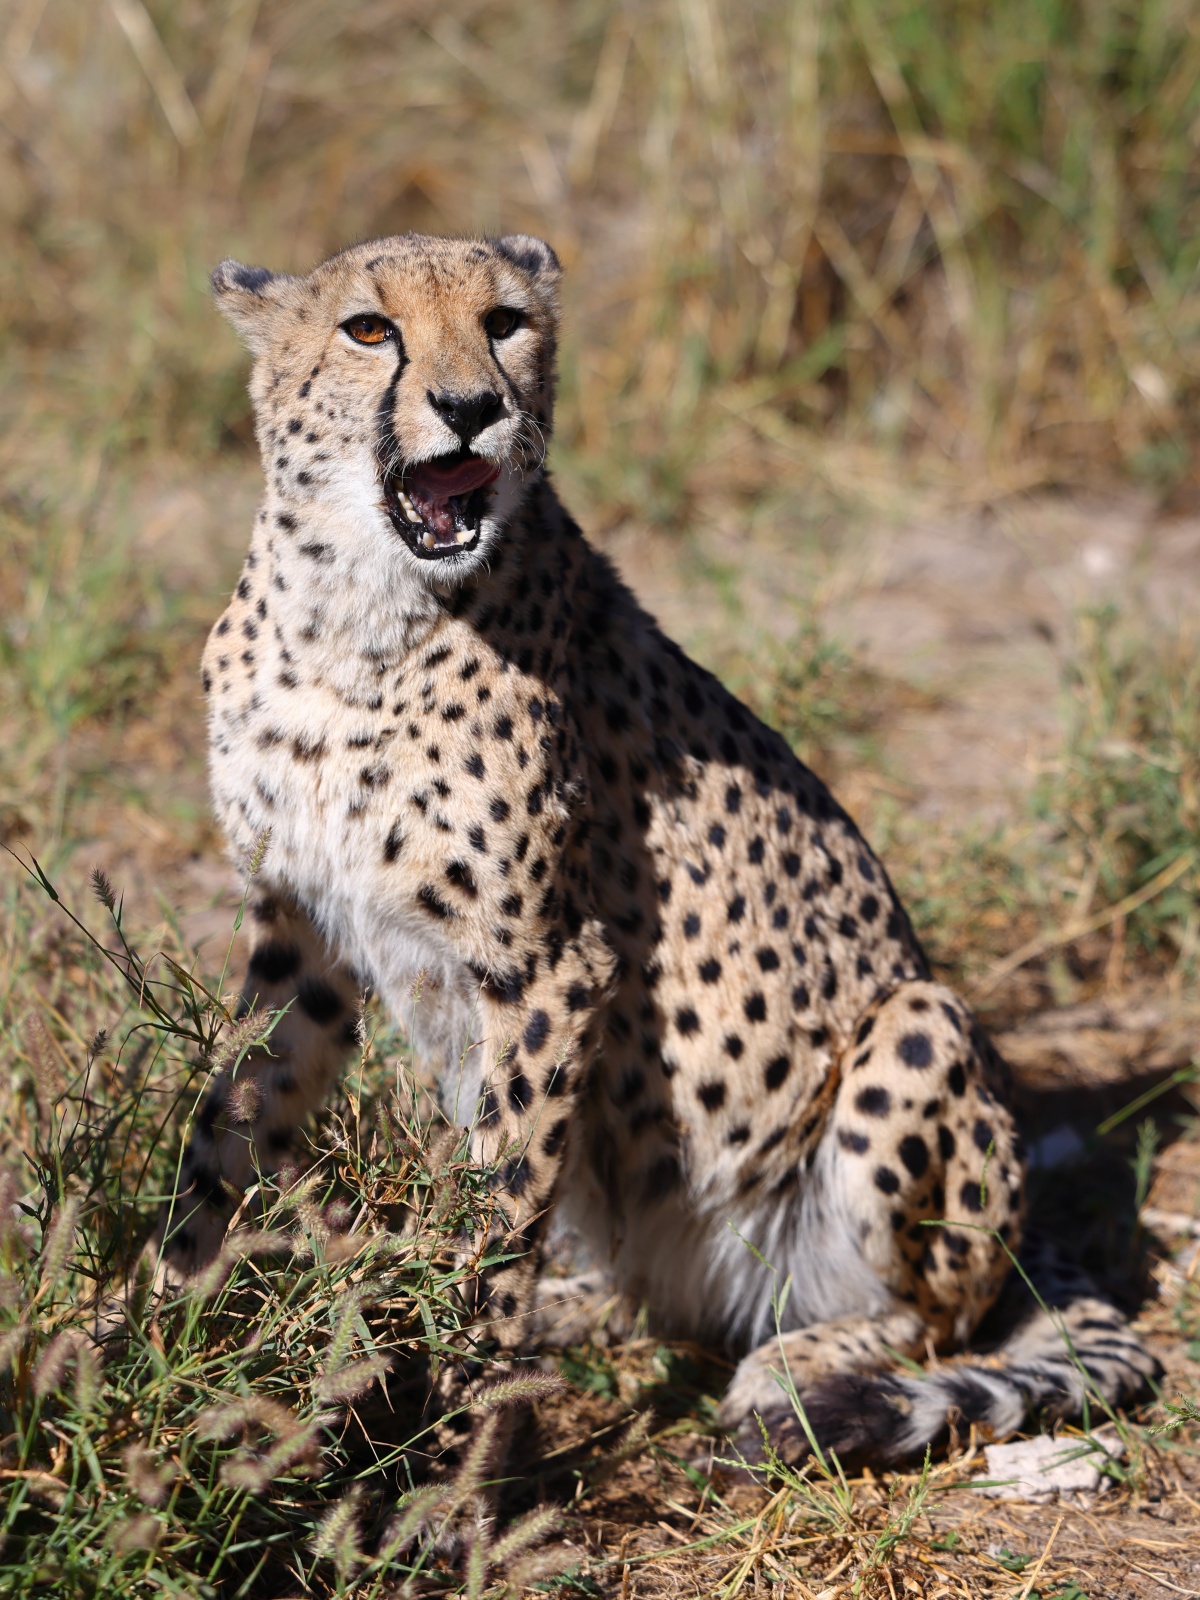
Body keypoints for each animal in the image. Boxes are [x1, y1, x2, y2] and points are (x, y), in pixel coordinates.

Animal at [164, 229, 1157, 1477]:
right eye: (368, 329)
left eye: (502, 322)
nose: (471, 408)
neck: (352, 608)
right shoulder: (301, 937)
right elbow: (225, 1123)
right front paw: (150, 1334)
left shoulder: (547, 961)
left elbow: (504, 1212)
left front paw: (458, 1444)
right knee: (640, 1291)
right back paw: (566, 1309)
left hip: (917, 1029)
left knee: (927, 1314)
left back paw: (791, 1368)